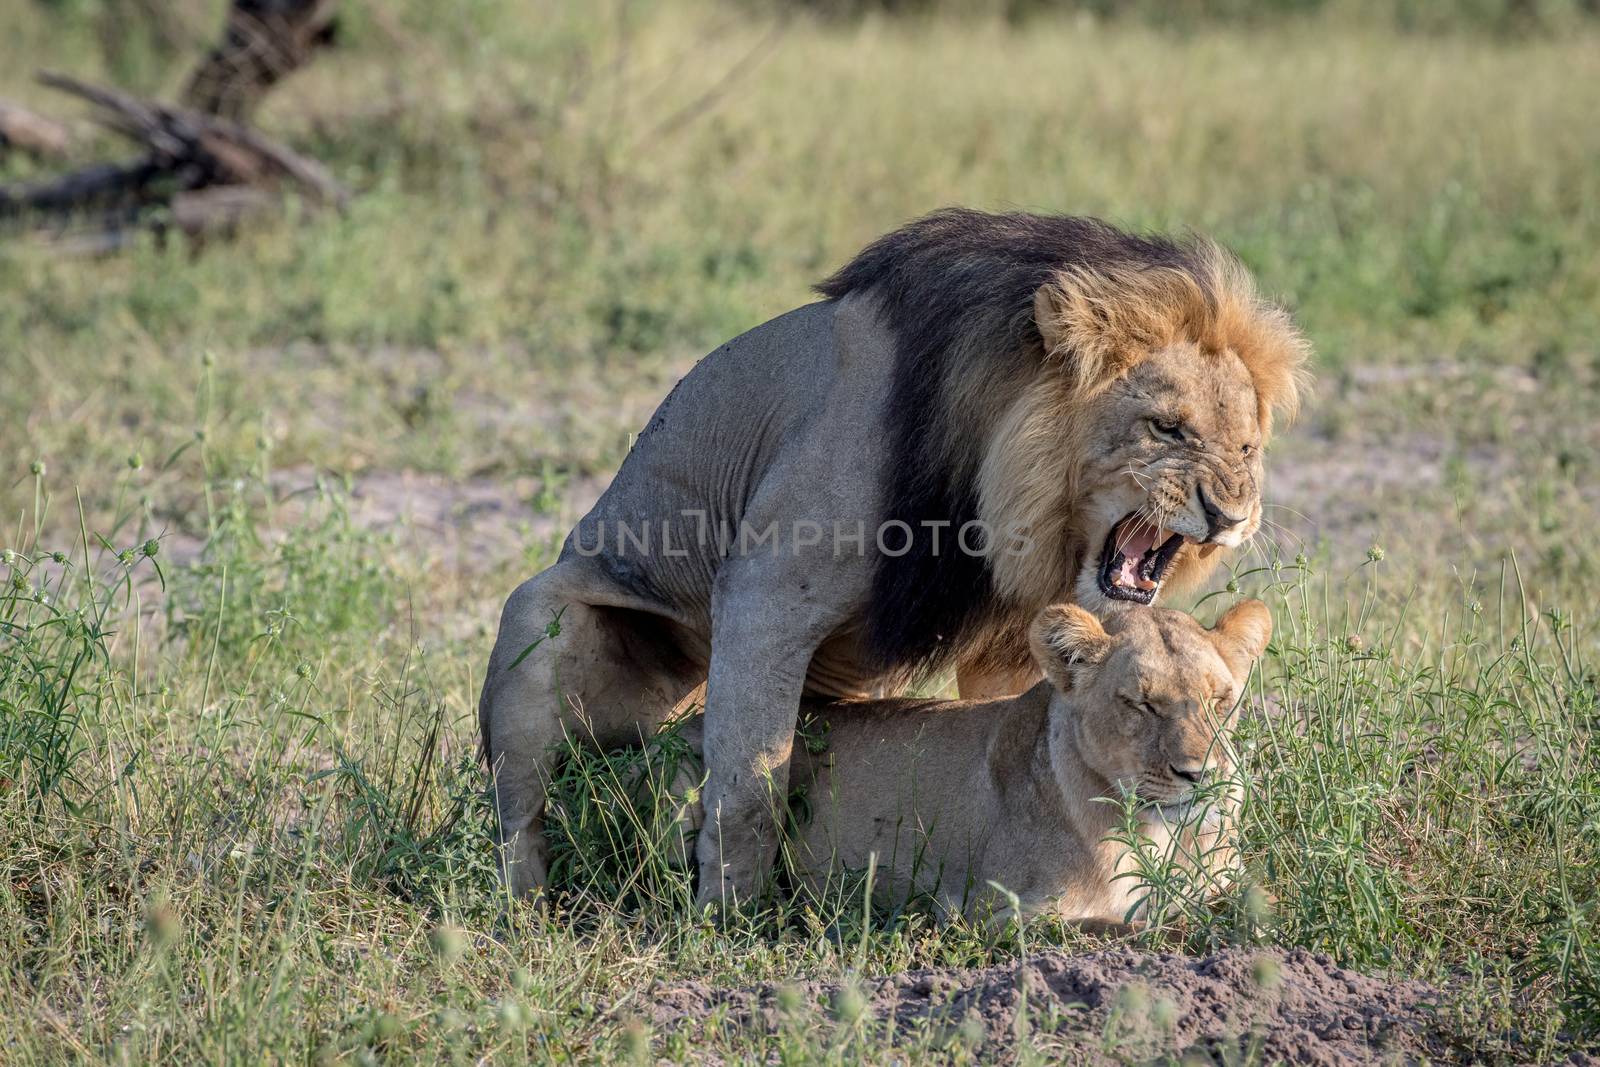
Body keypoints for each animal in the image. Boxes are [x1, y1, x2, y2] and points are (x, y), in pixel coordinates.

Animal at [668, 601, 1267, 927]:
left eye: (1220, 700)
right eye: (1141, 704)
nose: (1200, 776)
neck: (1162, 834)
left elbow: (1259, 902)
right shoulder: (988, 912)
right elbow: (1124, 929)